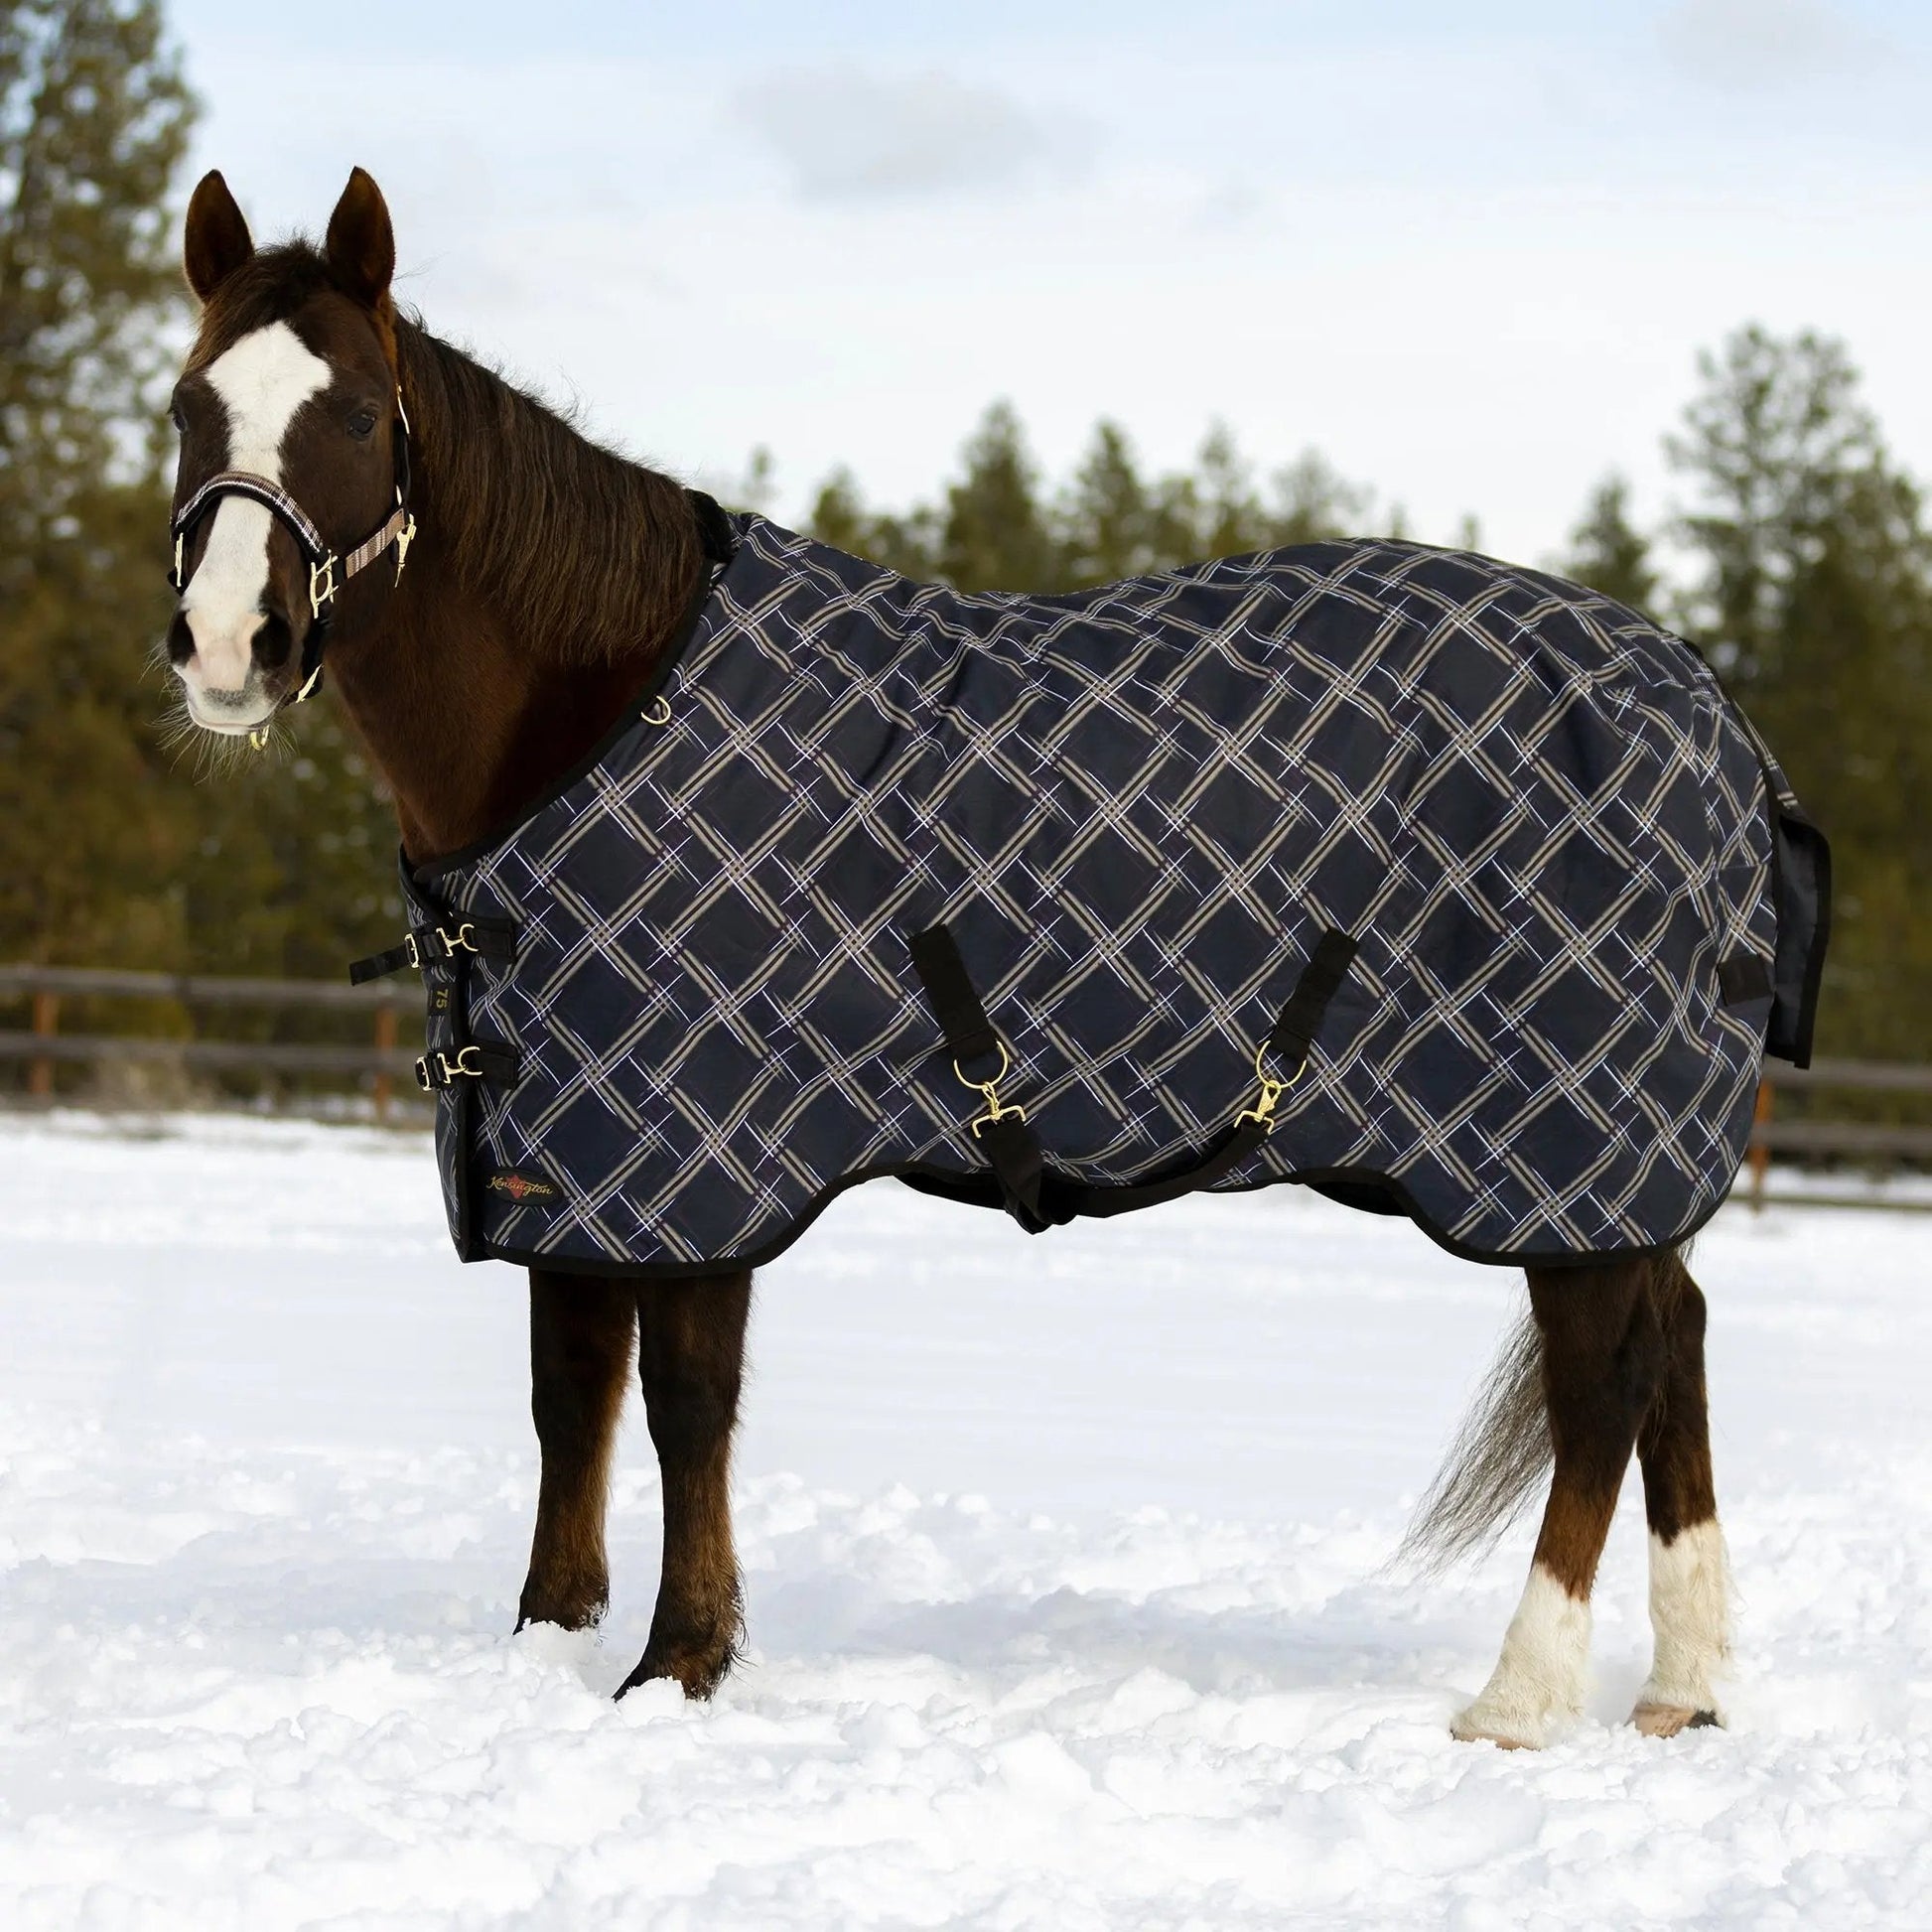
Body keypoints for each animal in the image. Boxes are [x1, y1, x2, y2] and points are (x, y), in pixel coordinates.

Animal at [161, 164, 1760, 1750]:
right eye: (185, 405)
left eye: (355, 415)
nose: (230, 644)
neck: (600, 710)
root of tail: (1701, 704)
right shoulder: (569, 1155)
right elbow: (572, 1397)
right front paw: (547, 1642)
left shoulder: (698, 1156)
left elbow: (683, 1402)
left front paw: (679, 1662)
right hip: (1612, 1165)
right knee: (1675, 1344)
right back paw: (1678, 1688)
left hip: (1563, 1141)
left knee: (1604, 1378)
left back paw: (1520, 1696)